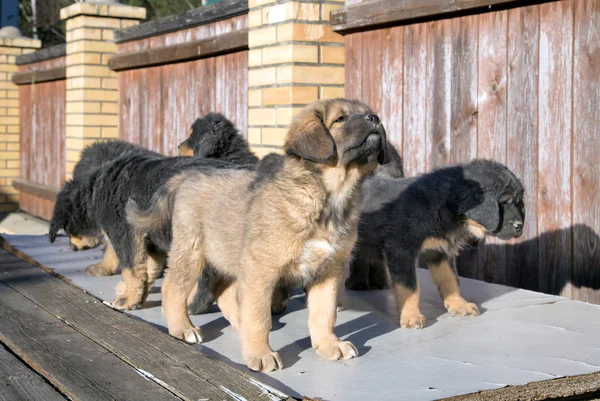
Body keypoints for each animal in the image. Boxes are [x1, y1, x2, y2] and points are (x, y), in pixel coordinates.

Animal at [127, 98, 390, 370]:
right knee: (173, 287)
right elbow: (259, 316)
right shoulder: (262, 269)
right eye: (340, 119)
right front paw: (260, 354)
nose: (375, 118)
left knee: (223, 291)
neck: (330, 197)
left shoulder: (328, 270)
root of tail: (186, 176)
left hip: (224, 250)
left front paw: (329, 345)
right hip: (192, 250)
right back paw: (182, 328)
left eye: (368, 113)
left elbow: (324, 314)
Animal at [346, 159, 524, 328]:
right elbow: (409, 286)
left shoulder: (439, 251)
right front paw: (411, 316)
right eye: (504, 203)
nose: (520, 226)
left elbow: (451, 279)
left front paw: (459, 305)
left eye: (518, 203)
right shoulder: (402, 248)